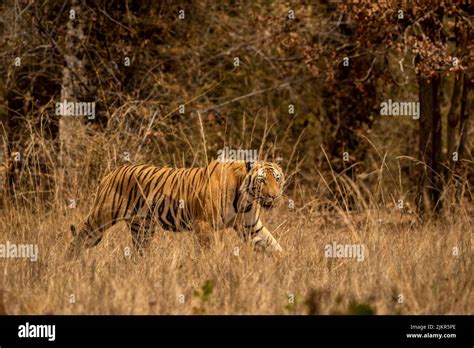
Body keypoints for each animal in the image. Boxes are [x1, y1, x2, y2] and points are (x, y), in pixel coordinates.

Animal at [65, 159, 284, 256]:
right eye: (262, 180)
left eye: (277, 178)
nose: (274, 196)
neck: (246, 197)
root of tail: (111, 172)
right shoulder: (203, 224)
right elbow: (208, 251)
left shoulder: (250, 226)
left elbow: (273, 245)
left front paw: (286, 267)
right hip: (101, 216)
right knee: (80, 238)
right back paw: (69, 263)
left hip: (142, 227)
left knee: (138, 252)